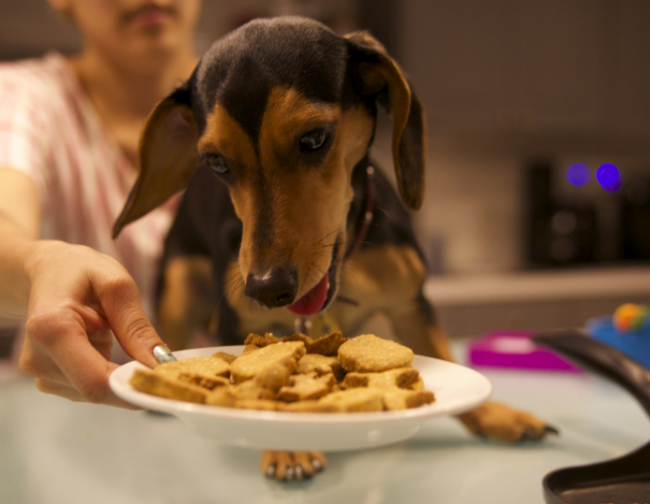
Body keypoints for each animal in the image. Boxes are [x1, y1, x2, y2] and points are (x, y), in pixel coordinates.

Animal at [114, 14, 556, 480]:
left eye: (313, 139)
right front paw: (285, 444)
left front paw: (495, 414)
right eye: (216, 162)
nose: (266, 289)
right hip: (178, 295)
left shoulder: (411, 305)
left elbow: (440, 353)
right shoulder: (237, 324)